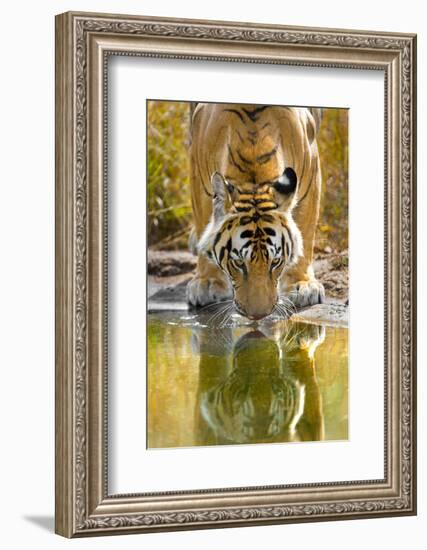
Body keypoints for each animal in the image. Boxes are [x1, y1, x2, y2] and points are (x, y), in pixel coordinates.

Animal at [187, 101, 324, 322]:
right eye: (238, 263)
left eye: (275, 262)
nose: (258, 316)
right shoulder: (199, 176)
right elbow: (203, 223)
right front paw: (207, 282)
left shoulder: (311, 170)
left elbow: (306, 230)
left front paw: (302, 285)